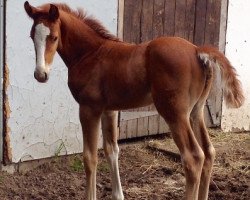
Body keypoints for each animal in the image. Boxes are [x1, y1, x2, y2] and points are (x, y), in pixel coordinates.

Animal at [23, 1, 244, 200]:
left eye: (54, 37)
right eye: (32, 36)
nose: (40, 74)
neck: (90, 54)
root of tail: (198, 50)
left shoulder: (88, 108)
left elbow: (90, 157)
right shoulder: (109, 110)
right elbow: (112, 150)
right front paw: (118, 195)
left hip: (174, 113)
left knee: (193, 157)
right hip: (196, 112)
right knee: (209, 152)